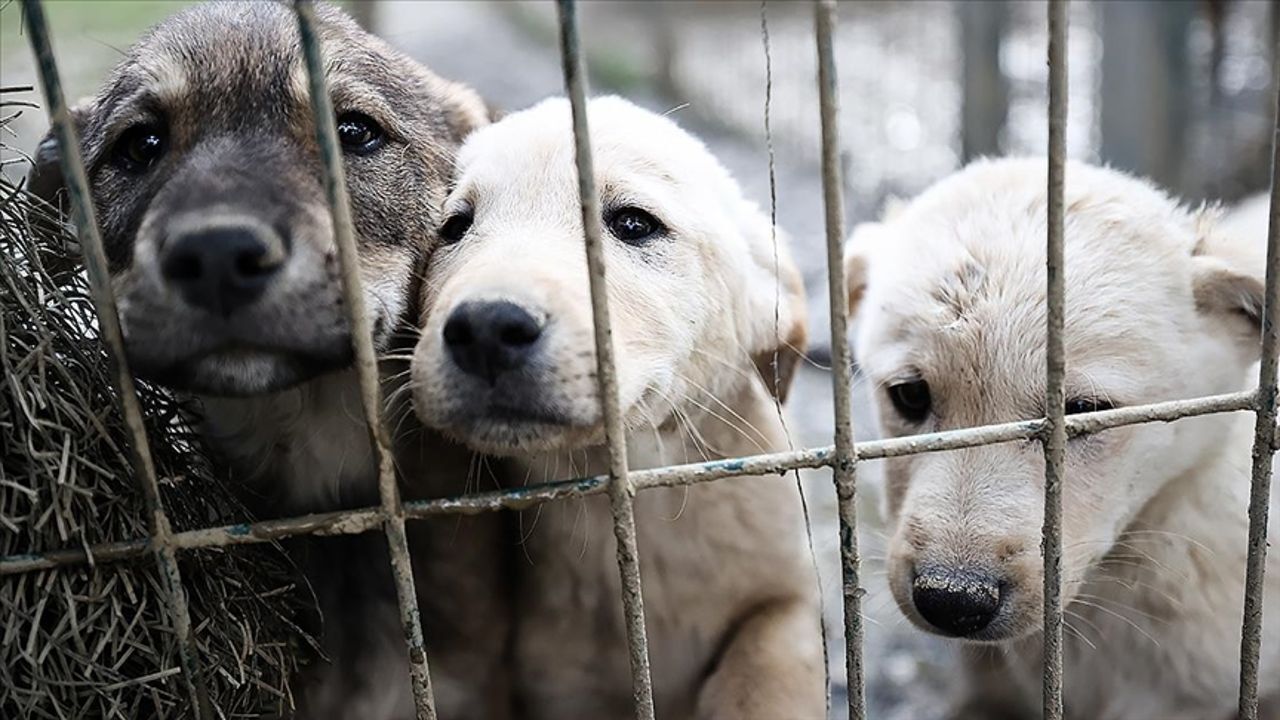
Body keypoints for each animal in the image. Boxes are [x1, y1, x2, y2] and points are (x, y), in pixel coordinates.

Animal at [414, 96, 824, 717]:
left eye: (634, 224)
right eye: (454, 226)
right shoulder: (558, 680)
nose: (485, 328)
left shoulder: (789, 594)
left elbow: (769, 664)